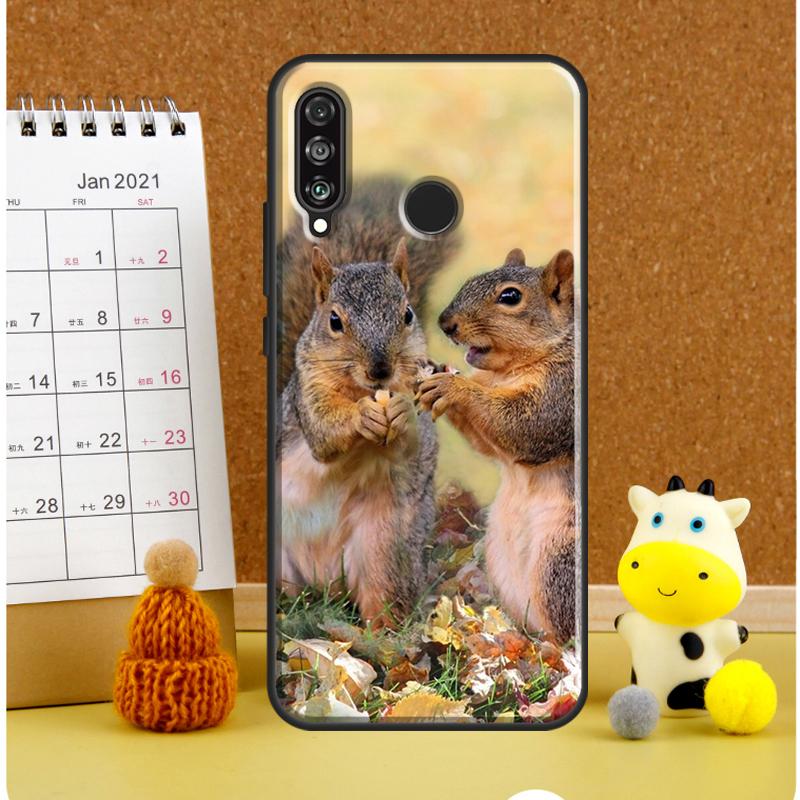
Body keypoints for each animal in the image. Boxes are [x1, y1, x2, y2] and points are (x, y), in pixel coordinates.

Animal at [277, 178, 457, 624]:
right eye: (334, 321)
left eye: (407, 314)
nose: (380, 370)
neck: (362, 390)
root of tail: (324, 580)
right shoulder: (306, 394)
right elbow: (323, 434)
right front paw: (362, 418)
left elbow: (413, 443)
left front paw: (400, 412)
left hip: (384, 545)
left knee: (383, 598)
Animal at [416, 247, 577, 642]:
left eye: (510, 297)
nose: (446, 323)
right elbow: (491, 444)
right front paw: (437, 374)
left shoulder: (562, 394)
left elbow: (526, 427)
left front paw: (454, 387)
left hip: (559, 561)